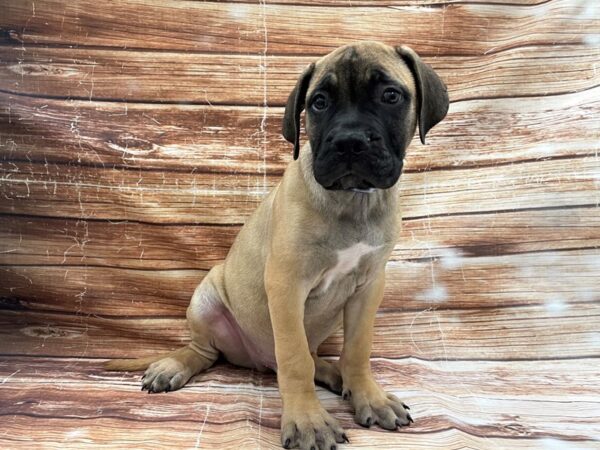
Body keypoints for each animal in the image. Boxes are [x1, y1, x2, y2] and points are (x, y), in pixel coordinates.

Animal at [105, 40, 448, 448]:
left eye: (391, 96)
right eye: (319, 103)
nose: (349, 142)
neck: (351, 201)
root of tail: (255, 361)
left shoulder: (369, 286)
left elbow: (357, 350)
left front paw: (370, 396)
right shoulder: (286, 285)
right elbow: (295, 360)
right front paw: (309, 422)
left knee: (313, 358)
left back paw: (336, 377)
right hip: (205, 300)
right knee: (205, 352)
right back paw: (173, 366)